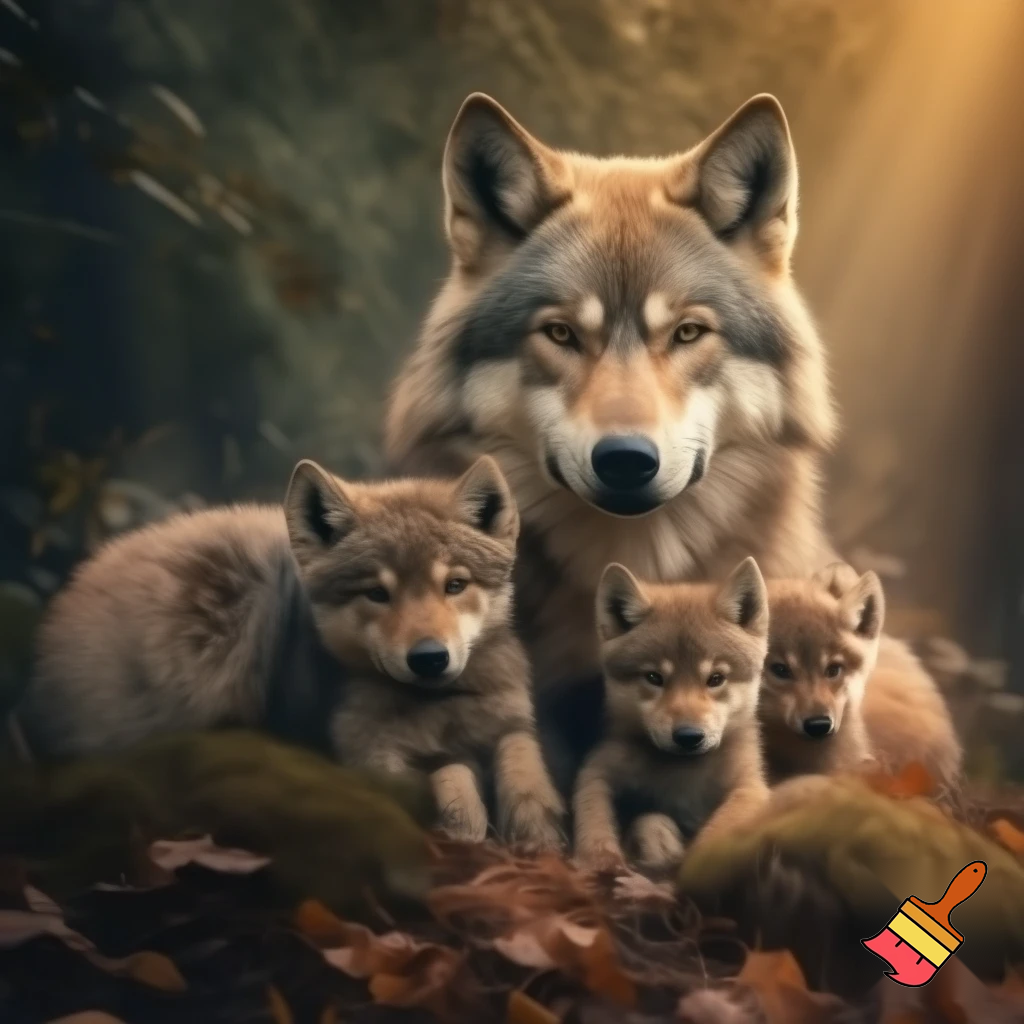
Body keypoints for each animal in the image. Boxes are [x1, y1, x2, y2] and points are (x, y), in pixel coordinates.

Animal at [19, 457, 563, 846]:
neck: (439, 705)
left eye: (454, 585)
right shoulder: (369, 753)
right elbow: (453, 780)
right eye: (377, 593)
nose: (429, 657)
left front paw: (538, 833)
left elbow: (525, 770)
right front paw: (469, 823)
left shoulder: (511, 724)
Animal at [572, 557, 770, 870]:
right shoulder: (597, 769)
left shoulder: (751, 785)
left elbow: (719, 829)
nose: (688, 736)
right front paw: (600, 858)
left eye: (716, 679)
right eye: (654, 677)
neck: (683, 775)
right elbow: (594, 813)